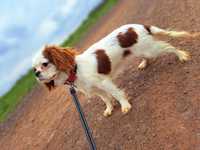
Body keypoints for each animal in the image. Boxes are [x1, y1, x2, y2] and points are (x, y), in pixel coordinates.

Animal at [31, 23, 197, 116]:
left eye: (45, 64)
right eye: (34, 69)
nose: (37, 74)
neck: (75, 71)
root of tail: (139, 26)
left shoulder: (104, 82)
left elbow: (116, 93)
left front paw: (125, 106)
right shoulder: (95, 89)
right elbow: (105, 98)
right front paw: (110, 109)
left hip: (151, 49)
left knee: (169, 47)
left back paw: (181, 55)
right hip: (141, 51)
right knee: (147, 56)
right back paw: (143, 63)